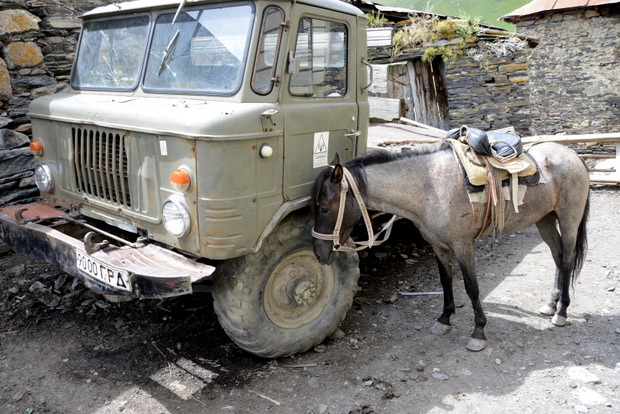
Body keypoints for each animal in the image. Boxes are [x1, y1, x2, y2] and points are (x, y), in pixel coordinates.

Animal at [312, 141, 588, 350]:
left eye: (324, 208)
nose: (318, 253)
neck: (429, 186)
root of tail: (573, 155)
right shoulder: (438, 245)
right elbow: (446, 281)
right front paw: (444, 319)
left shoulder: (462, 244)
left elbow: (471, 287)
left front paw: (478, 332)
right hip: (545, 219)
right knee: (557, 256)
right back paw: (551, 304)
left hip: (569, 220)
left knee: (566, 260)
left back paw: (561, 312)